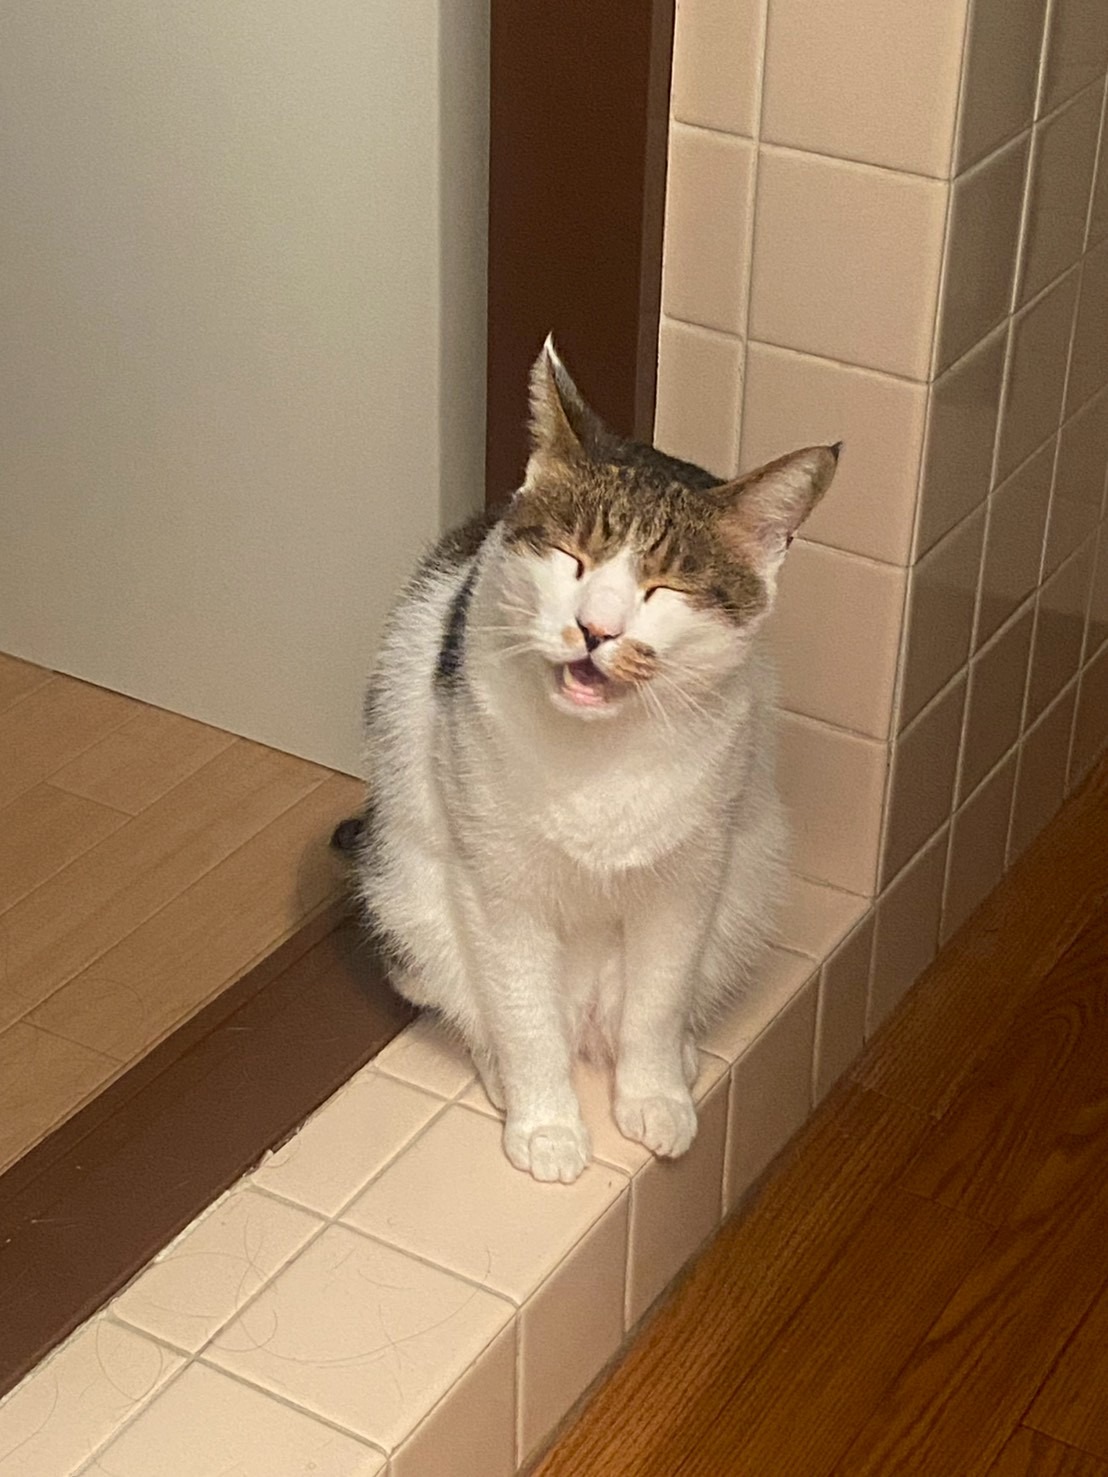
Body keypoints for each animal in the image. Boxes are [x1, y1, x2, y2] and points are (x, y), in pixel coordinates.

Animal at [338, 338, 839, 1183]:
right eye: (571, 556)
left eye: (666, 587)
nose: (596, 628)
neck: (601, 755)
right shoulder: (497, 888)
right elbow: (523, 1015)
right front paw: (546, 1123)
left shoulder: (688, 881)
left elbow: (660, 997)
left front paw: (655, 1094)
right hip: (403, 893)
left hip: (750, 879)